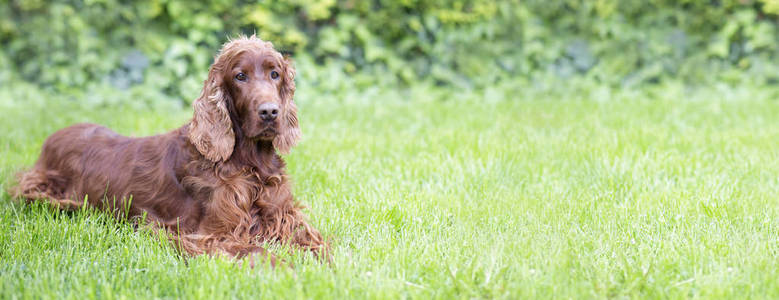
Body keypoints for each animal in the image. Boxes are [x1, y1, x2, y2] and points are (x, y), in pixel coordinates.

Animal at [15, 35, 326, 264]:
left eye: (275, 73)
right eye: (240, 76)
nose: (270, 112)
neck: (249, 162)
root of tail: (54, 137)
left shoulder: (283, 216)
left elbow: (317, 241)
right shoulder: (210, 234)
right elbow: (256, 251)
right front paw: (287, 269)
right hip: (47, 193)